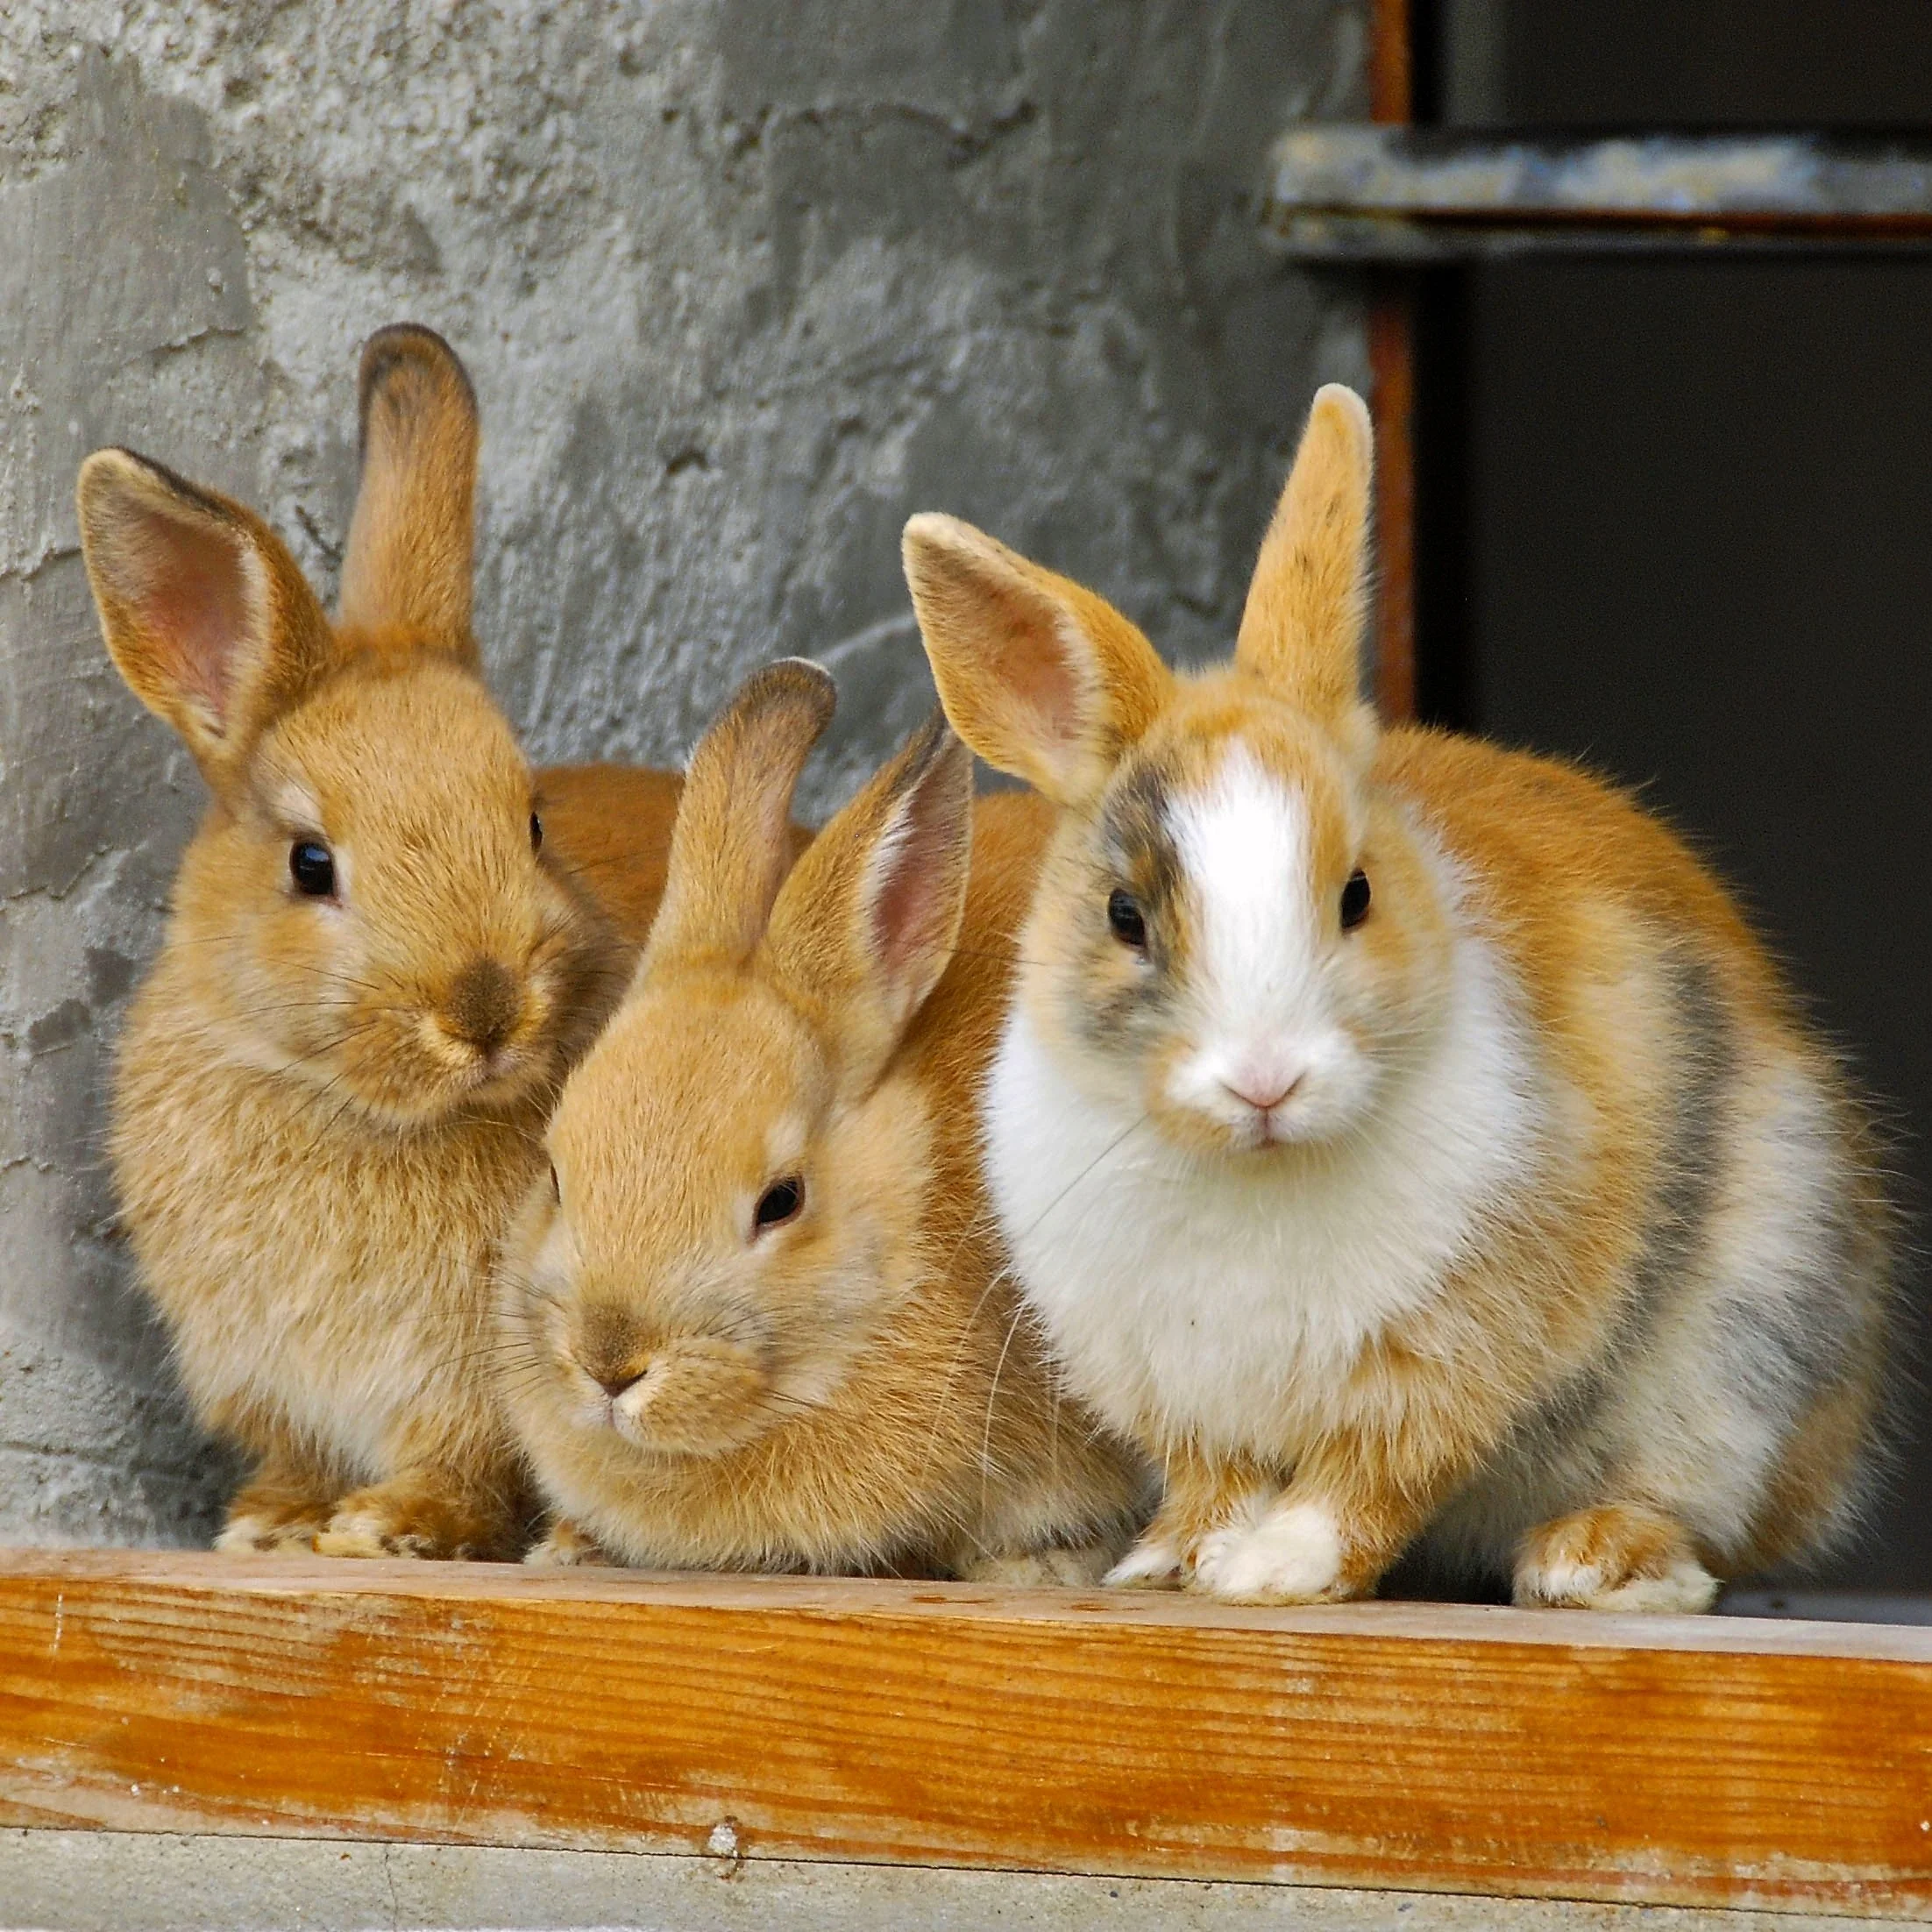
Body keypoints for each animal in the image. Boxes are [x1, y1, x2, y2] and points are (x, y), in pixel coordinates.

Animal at [85, 324, 689, 1560]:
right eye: (311, 864)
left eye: (531, 822)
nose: (485, 1009)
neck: (354, 1107)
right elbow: (301, 1455)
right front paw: (272, 1522)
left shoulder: (477, 1385)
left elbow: (464, 1462)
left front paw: (390, 1528)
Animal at [898, 383, 1896, 1612]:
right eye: (1123, 915)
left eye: (1356, 893)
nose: (1264, 1079)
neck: (1253, 1172)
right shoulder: (1175, 1387)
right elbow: (1214, 1479)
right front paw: (1171, 1564)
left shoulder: (1446, 1349)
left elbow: (1370, 1469)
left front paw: (1274, 1570)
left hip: (1745, 1349)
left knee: (1696, 1517)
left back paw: (1589, 1561)